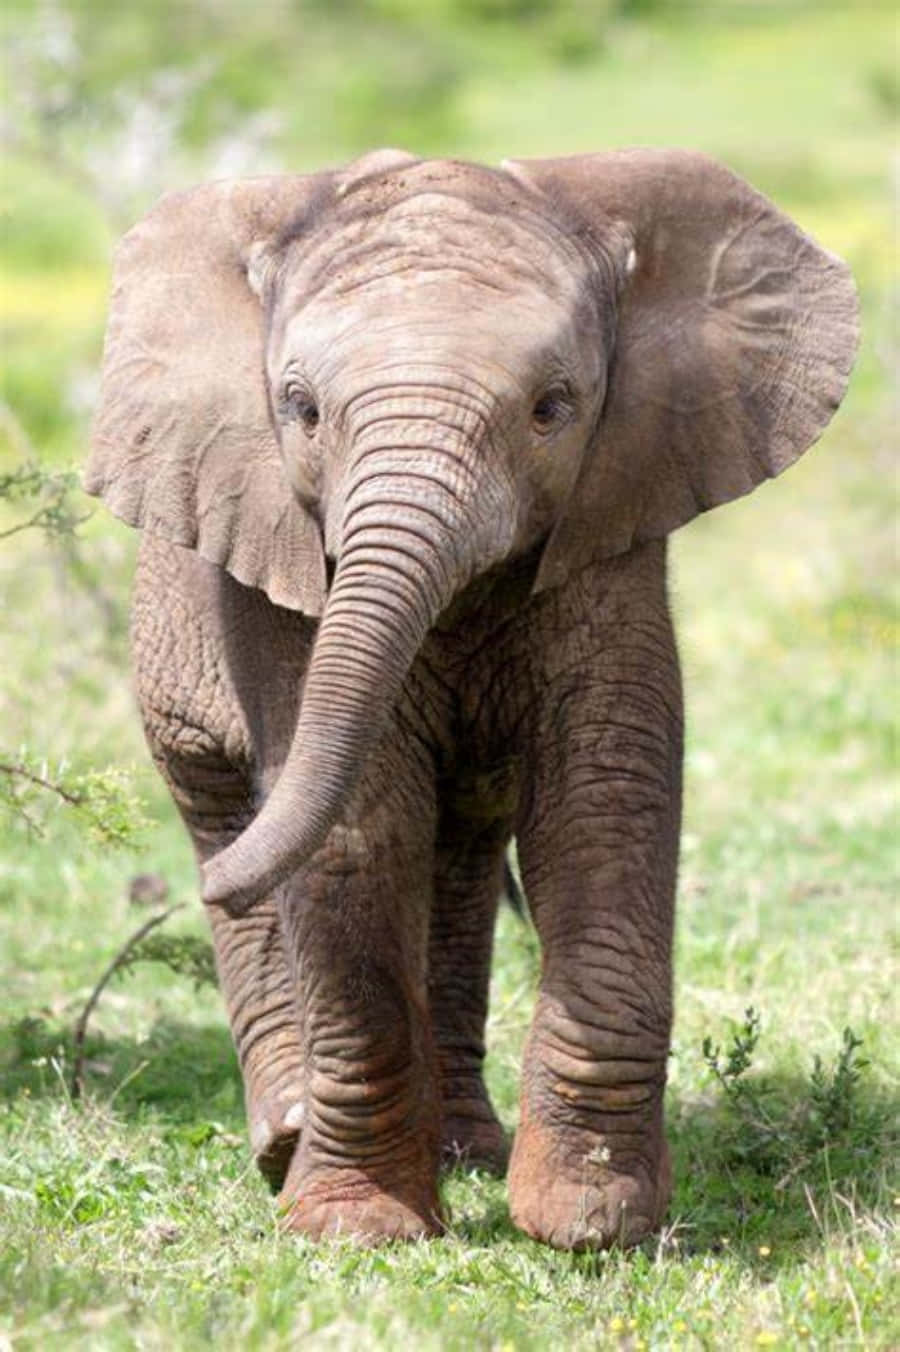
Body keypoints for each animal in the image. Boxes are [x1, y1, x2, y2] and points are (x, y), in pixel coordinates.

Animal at [85, 148, 858, 1248]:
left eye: (553, 407)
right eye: (301, 409)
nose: (196, 891)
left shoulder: (609, 522)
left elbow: (603, 791)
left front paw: (588, 1219)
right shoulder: (278, 567)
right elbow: (357, 823)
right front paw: (357, 1231)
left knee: (455, 853)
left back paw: (466, 1152)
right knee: (228, 804)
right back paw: (288, 1135)